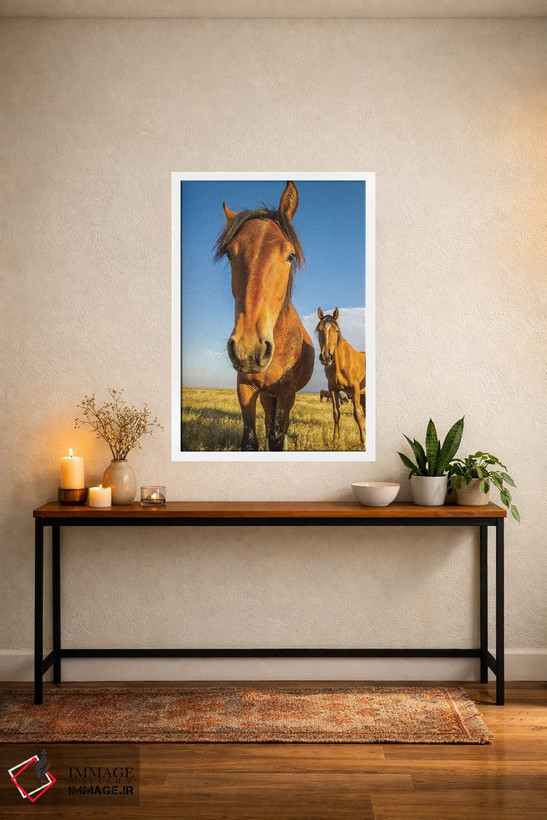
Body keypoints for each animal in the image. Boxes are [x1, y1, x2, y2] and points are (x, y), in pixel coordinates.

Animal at [214, 181, 315, 451]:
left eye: (290, 255)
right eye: (230, 253)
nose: (249, 349)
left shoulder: (287, 393)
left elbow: (278, 437)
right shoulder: (245, 388)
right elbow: (250, 440)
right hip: (267, 397)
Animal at [316, 307, 366, 447]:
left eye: (336, 330)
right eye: (319, 330)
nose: (326, 357)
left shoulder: (355, 388)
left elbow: (357, 414)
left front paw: (363, 441)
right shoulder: (333, 389)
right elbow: (336, 413)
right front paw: (335, 439)